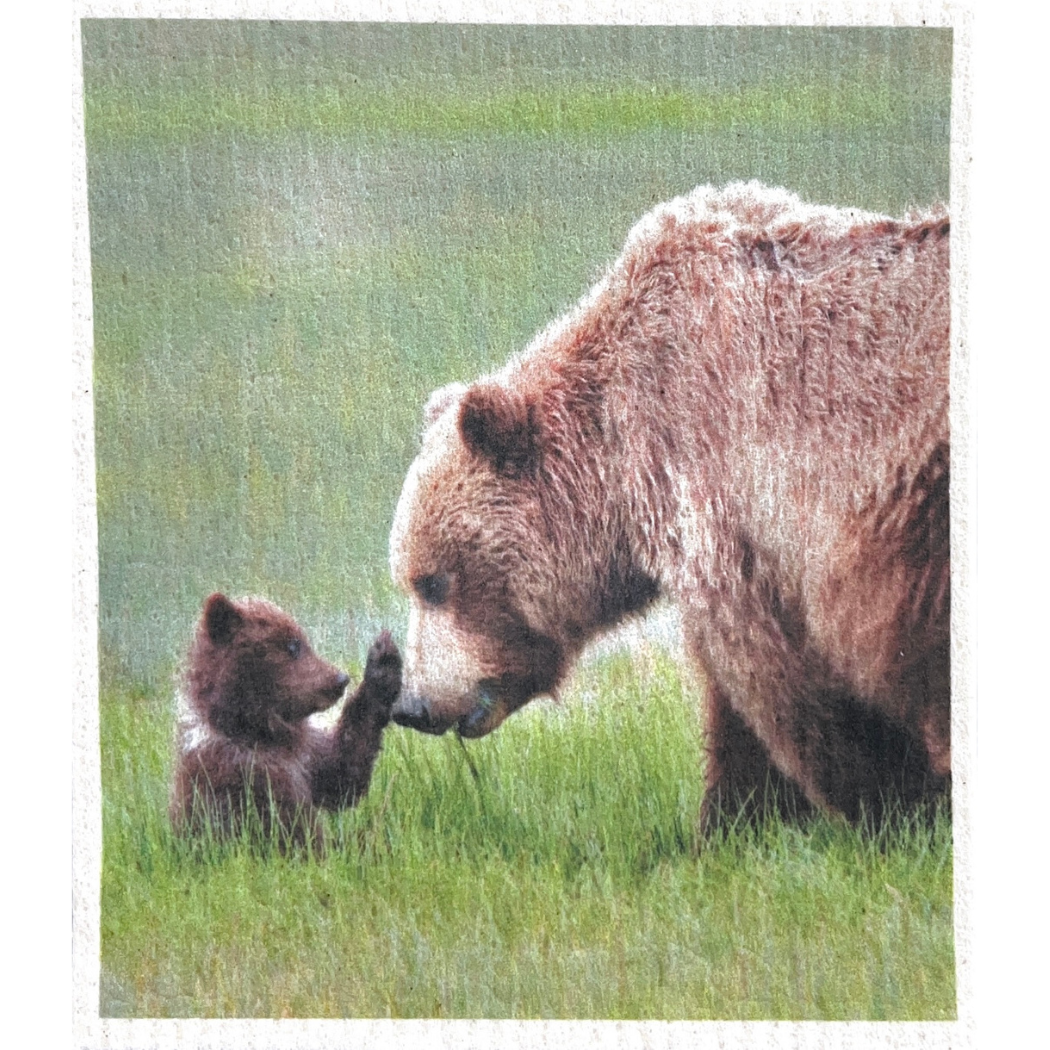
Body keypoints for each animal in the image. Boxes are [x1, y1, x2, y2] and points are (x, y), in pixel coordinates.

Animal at [170, 592, 402, 849]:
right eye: (293, 646)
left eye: (301, 640)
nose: (340, 679)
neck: (254, 730)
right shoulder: (240, 777)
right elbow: (295, 836)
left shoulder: (305, 756)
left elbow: (341, 771)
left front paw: (383, 665)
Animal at [387, 181, 950, 831]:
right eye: (410, 579)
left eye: (433, 582)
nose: (412, 705)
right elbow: (738, 713)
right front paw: (736, 818)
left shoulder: (720, 478)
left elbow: (780, 678)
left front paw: (890, 802)